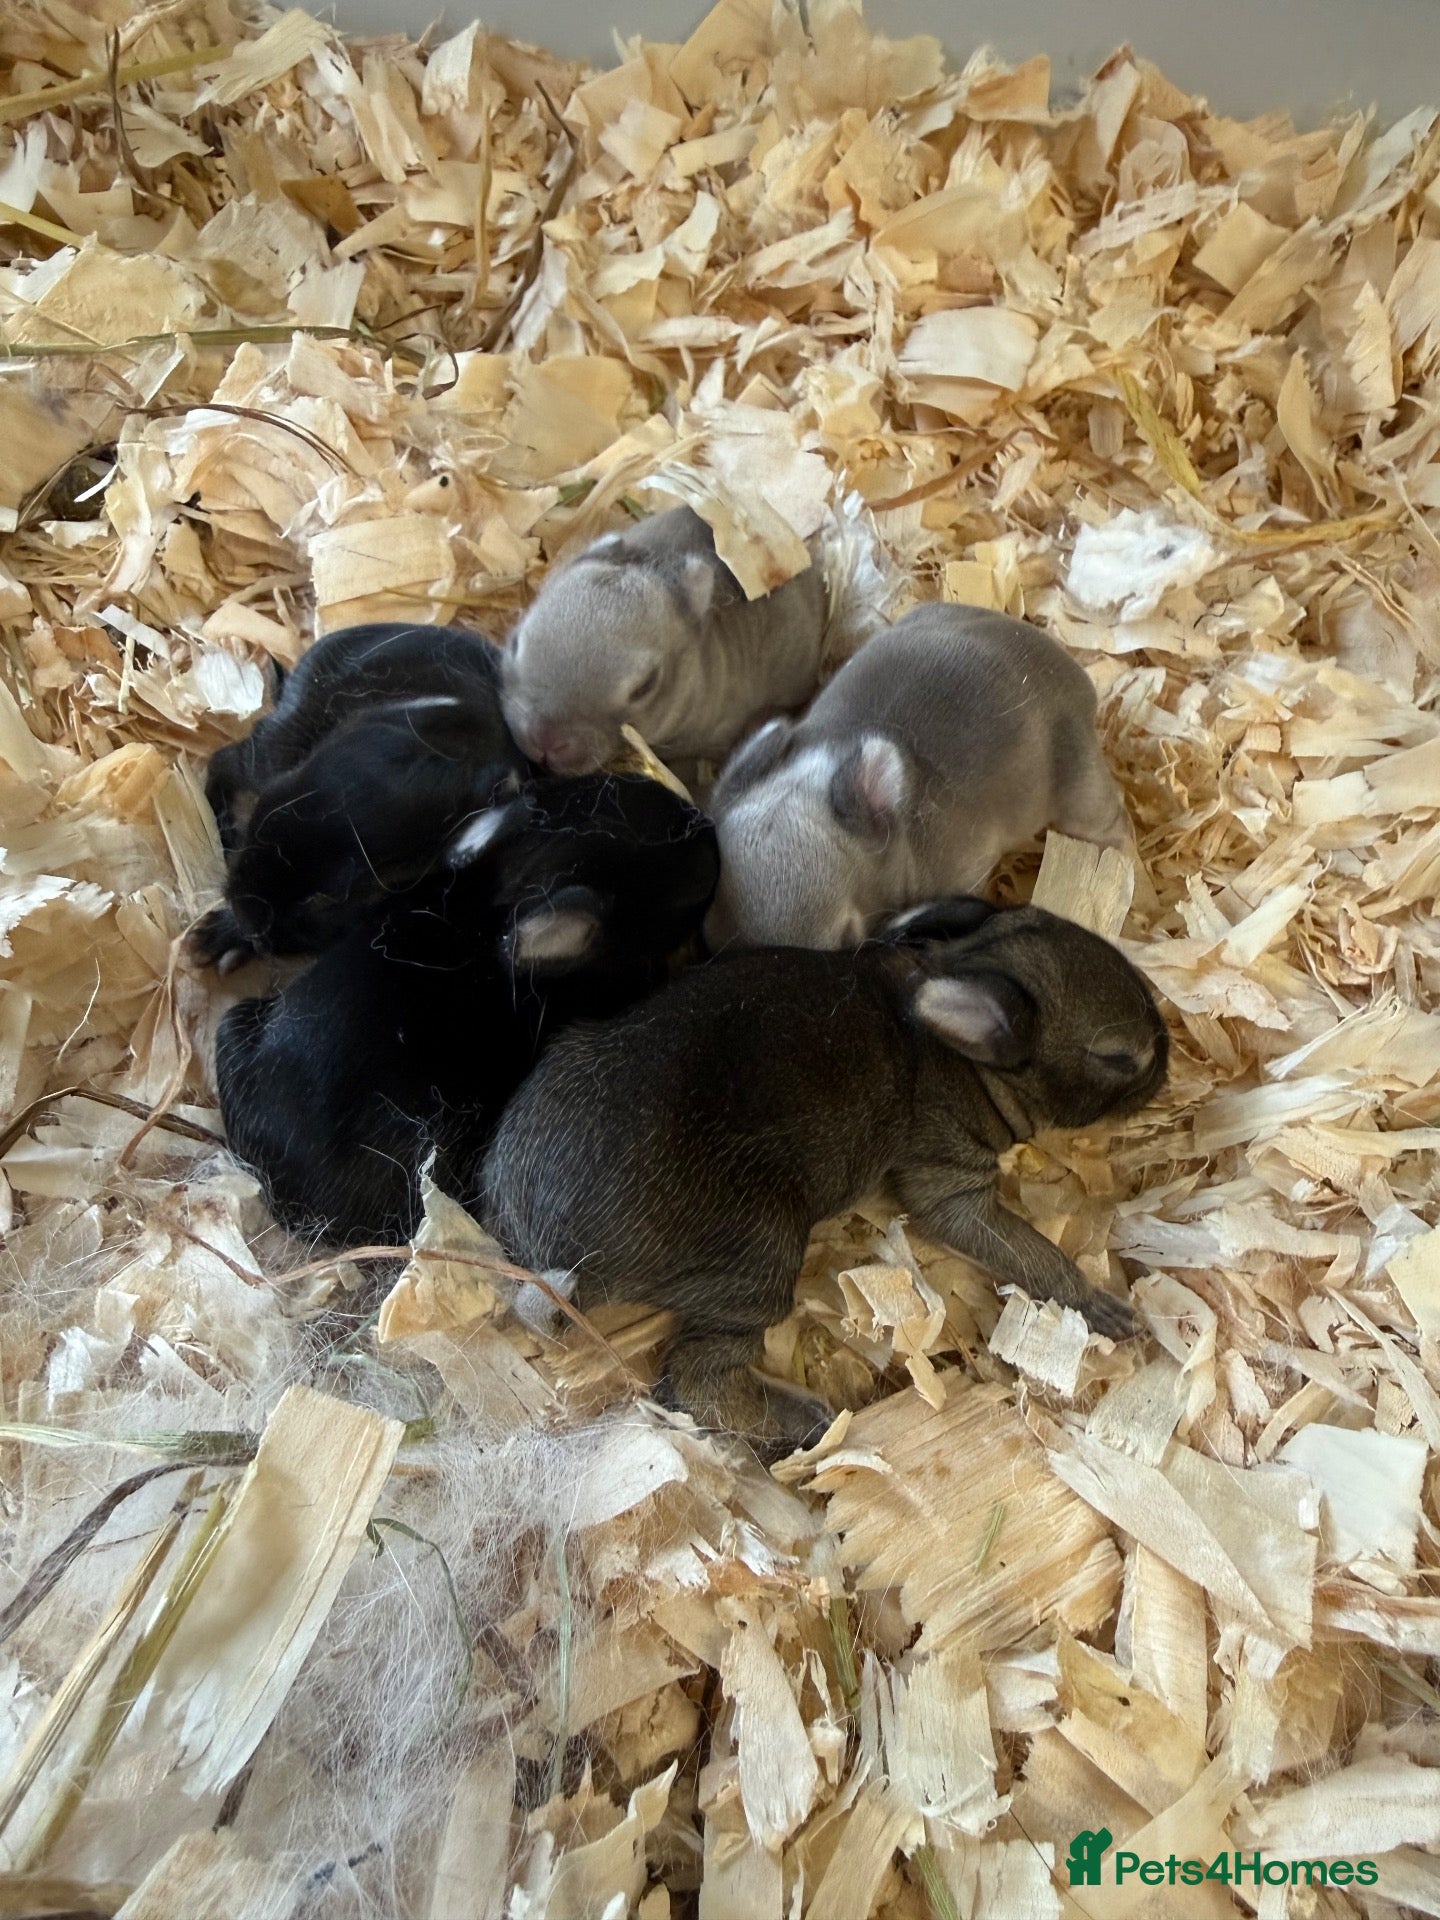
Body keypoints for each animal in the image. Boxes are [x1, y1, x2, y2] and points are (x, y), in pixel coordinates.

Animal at [194, 621, 527, 970]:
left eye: (331, 901)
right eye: (261, 813)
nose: (252, 928)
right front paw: (213, 937)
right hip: (275, 751)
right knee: (224, 761)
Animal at [483, 897, 1167, 1455]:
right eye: (1118, 1058)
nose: (1168, 1063)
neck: (963, 1057)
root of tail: (551, 1254)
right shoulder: (949, 1178)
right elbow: (1028, 1252)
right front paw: (1103, 1310)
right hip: (757, 1258)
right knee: (699, 1378)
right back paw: (809, 1418)